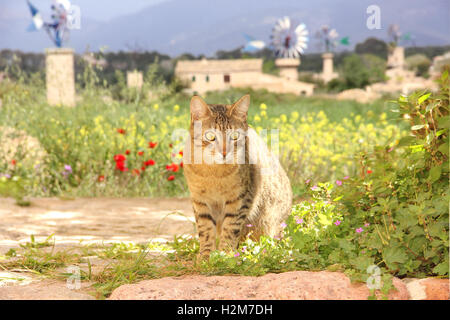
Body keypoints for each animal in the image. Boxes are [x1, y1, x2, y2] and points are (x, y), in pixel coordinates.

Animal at [183, 94, 292, 258]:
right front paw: (206, 254)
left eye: (234, 136)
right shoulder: (200, 201)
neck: (213, 174)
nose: (224, 152)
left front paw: (225, 254)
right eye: (210, 136)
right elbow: (205, 229)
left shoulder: (240, 200)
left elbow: (230, 228)